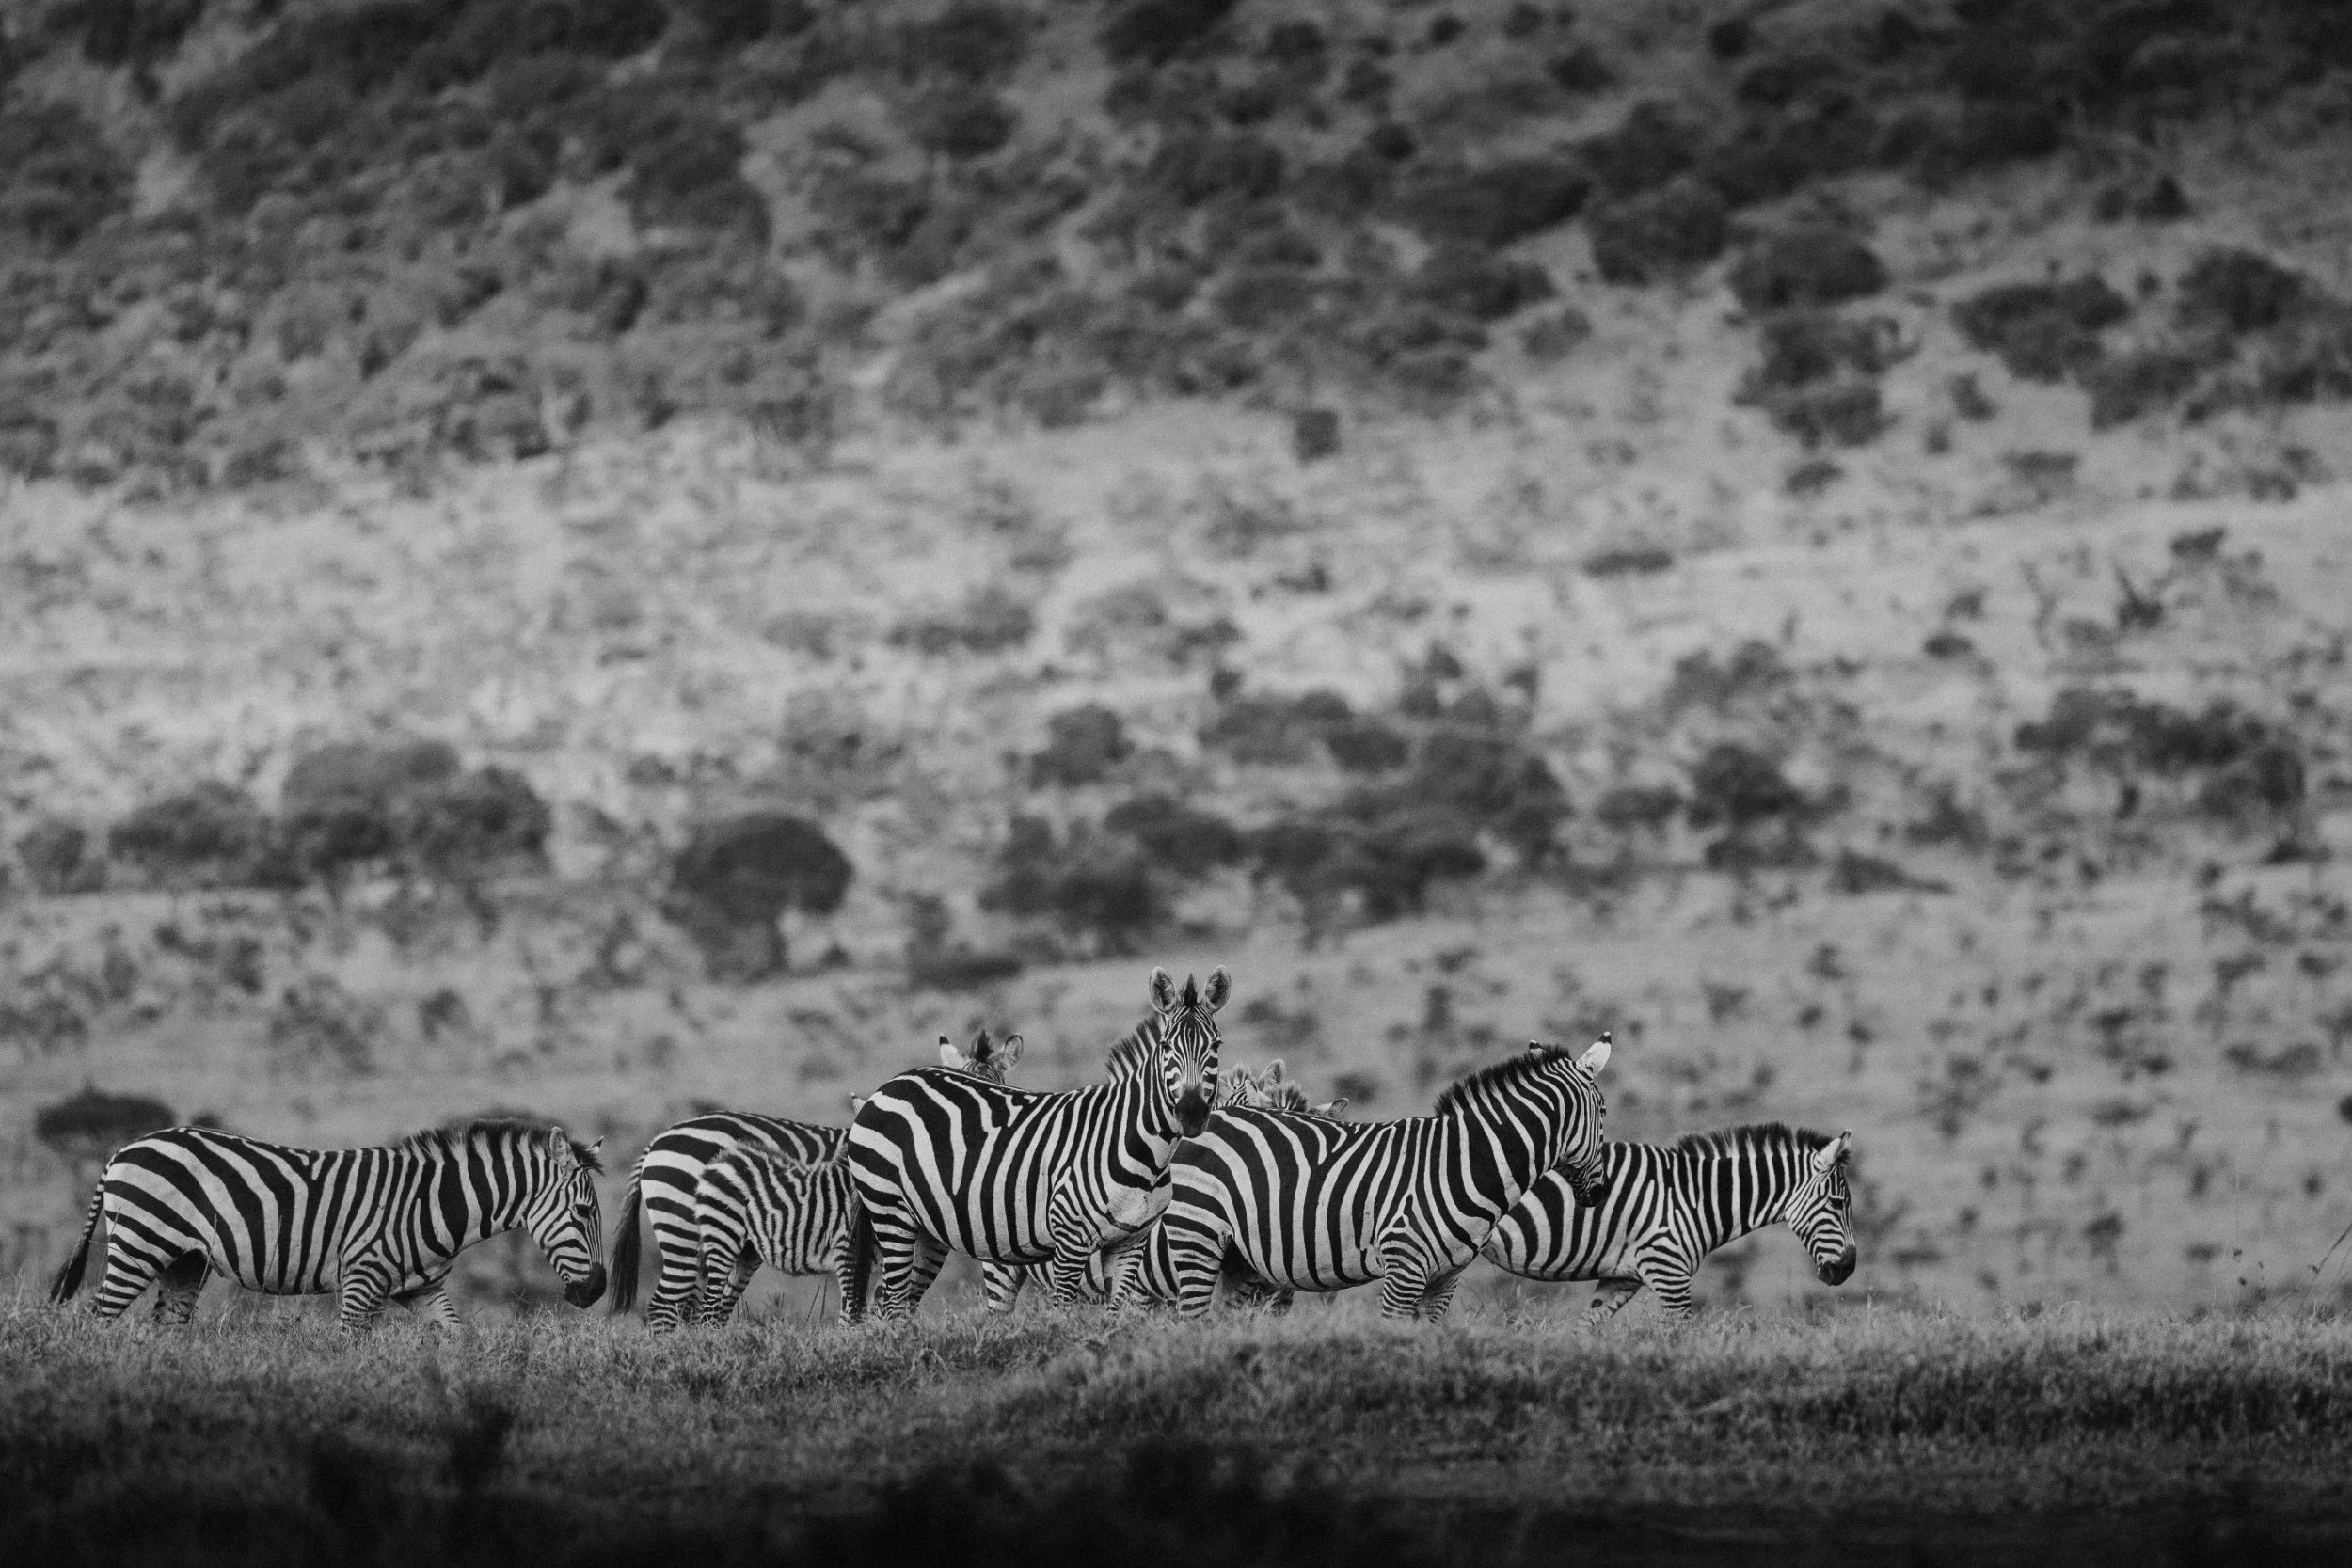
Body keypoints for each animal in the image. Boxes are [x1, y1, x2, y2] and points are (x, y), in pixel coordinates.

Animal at [48, 1120, 605, 1330]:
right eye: (582, 1213)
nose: (597, 1292)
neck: (432, 1202)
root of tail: (124, 1149)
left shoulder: (422, 1287)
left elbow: (458, 1337)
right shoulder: (362, 1278)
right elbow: (347, 1351)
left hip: (184, 1261)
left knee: (166, 1326)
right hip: (141, 1242)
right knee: (95, 1319)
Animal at [846, 967, 1227, 1318]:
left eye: (1216, 1046)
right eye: (1166, 1047)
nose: (1192, 1112)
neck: (1141, 1150)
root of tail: (890, 1084)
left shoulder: (1130, 1243)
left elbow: (1115, 1318)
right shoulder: (1068, 1242)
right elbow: (1063, 1316)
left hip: (927, 1229)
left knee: (899, 1302)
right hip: (893, 1211)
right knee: (892, 1304)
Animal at [1160, 1036, 1612, 1321]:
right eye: (1604, 1111)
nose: (1601, 1191)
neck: (1462, 1163)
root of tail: (1206, 1116)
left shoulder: (1444, 1280)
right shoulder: (1404, 1268)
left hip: (1239, 1261)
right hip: (1196, 1237)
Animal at [1482, 1123, 1857, 1321]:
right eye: (1837, 1204)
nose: (1848, 1269)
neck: (1694, 1197)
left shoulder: (1620, 1279)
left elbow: (1584, 1330)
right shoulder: (1669, 1274)